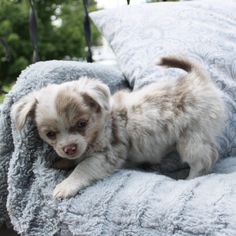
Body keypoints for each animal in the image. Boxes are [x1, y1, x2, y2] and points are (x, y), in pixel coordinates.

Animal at [12, 56, 225, 198]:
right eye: (50, 134)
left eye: (82, 124)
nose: (69, 148)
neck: (102, 126)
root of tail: (197, 79)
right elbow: (75, 160)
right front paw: (61, 162)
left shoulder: (107, 156)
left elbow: (82, 167)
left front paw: (66, 185)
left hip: (192, 138)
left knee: (204, 160)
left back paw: (190, 179)